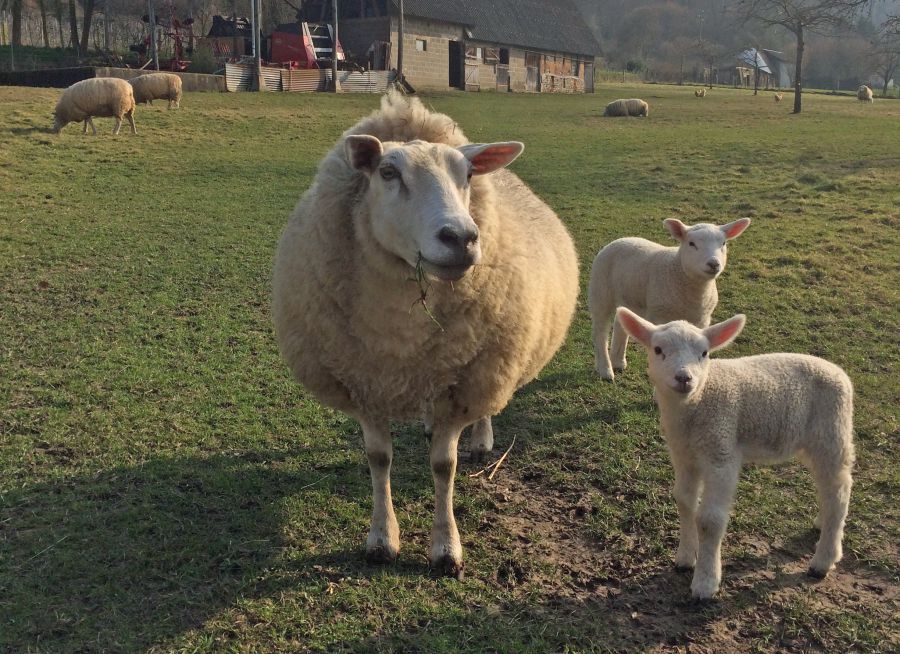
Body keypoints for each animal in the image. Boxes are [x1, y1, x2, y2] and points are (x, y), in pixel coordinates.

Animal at [270, 91, 580, 580]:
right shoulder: (364, 384)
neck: (403, 337)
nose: (462, 238)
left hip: (489, 366)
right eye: (387, 172)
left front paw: (446, 547)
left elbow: (443, 464)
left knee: (483, 412)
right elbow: (379, 459)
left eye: (467, 174)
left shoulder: (462, 384)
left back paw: (481, 439)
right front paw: (382, 539)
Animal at [592, 218, 752, 382]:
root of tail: (622, 239)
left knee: (620, 323)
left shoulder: (702, 321)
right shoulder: (661, 318)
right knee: (600, 332)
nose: (713, 264)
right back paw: (605, 370)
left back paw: (618, 362)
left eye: (723, 243)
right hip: (600, 293)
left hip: (628, 297)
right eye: (691, 243)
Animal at [616, 310, 856, 604]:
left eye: (704, 353)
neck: (696, 404)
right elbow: (684, 501)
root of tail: (838, 372)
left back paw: (824, 560)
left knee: (839, 491)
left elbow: (709, 520)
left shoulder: (721, 452)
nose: (684, 378)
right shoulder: (684, 455)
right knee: (828, 490)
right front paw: (685, 558)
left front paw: (705, 583)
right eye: (658, 350)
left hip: (832, 432)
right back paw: (823, 526)